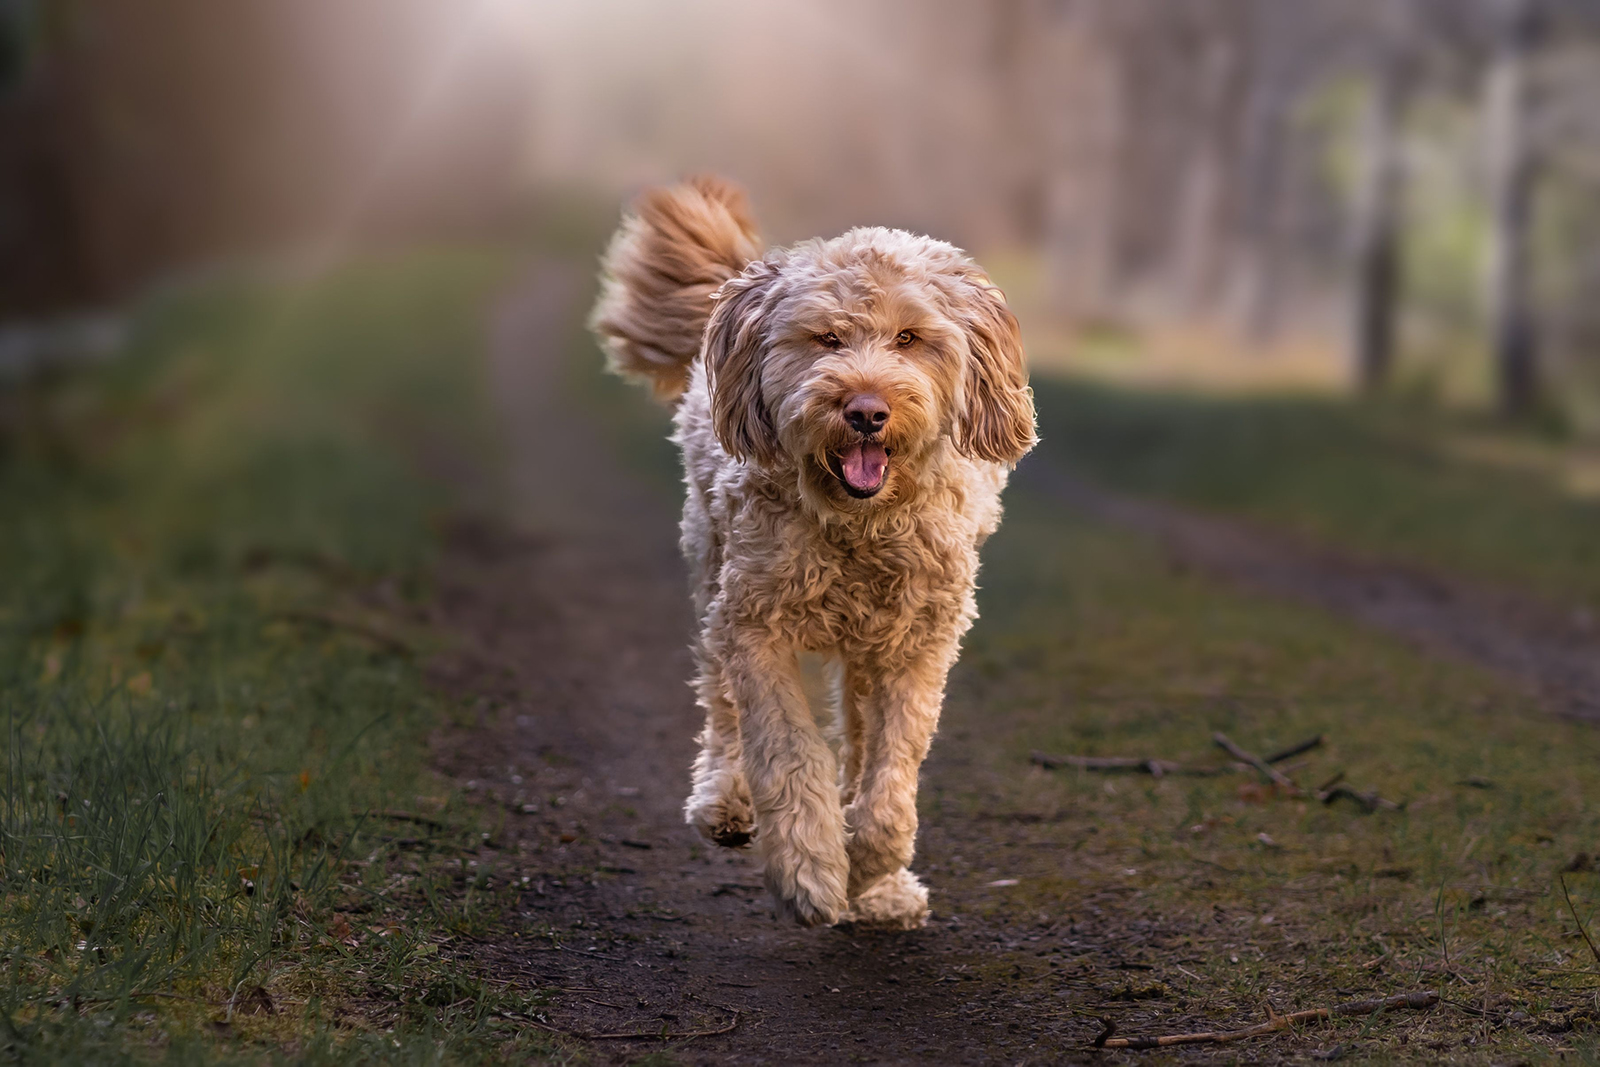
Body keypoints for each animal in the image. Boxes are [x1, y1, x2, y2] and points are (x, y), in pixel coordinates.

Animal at [588, 179, 1036, 927]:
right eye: (826, 338)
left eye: (910, 338)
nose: (866, 410)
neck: (858, 528)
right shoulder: (755, 624)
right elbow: (787, 750)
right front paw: (811, 872)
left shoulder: (918, 640)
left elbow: (893, 770)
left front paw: (872, 868)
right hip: (712, 566)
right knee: (721, 704)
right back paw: (725, 802)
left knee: (855, 733)